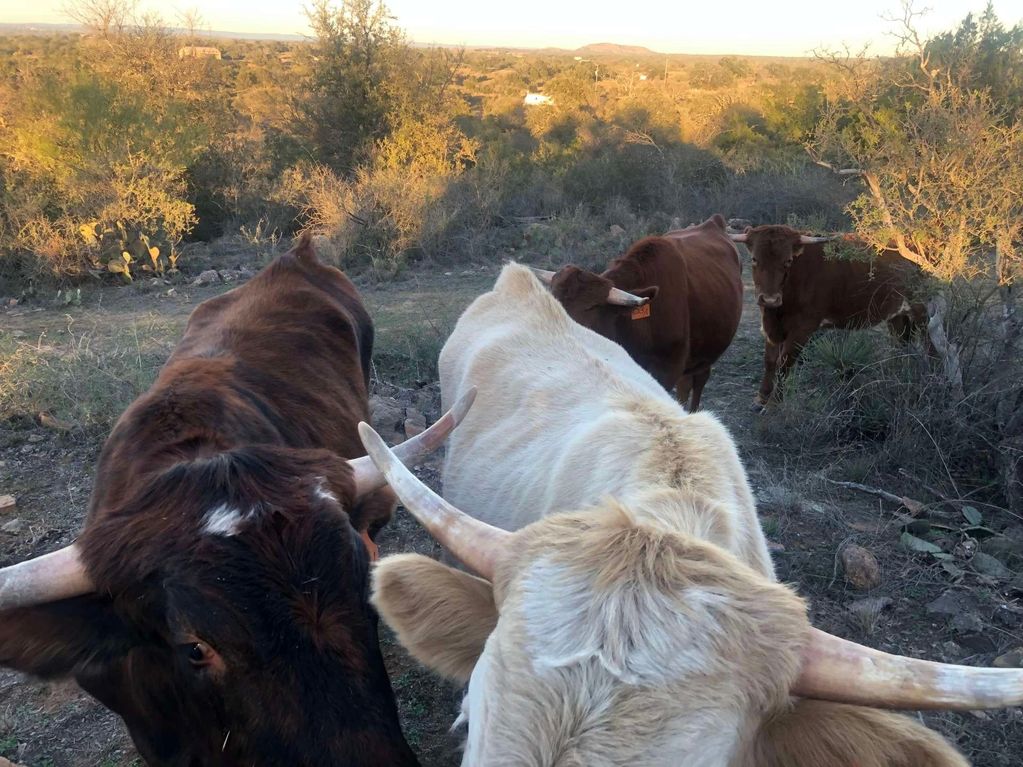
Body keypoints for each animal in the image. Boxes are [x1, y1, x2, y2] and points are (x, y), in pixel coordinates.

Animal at [728, 223, 928, 409]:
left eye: (788, 260)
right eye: (754, 259)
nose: (769, 299)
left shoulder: (803, 328)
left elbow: (784, 362)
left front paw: (774, 403)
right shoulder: (772, 327)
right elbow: (769, 360)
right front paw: (761, 397)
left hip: (920, 306)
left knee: (926, 337)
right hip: (896, 312)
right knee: (901, 340)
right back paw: (898, 373)